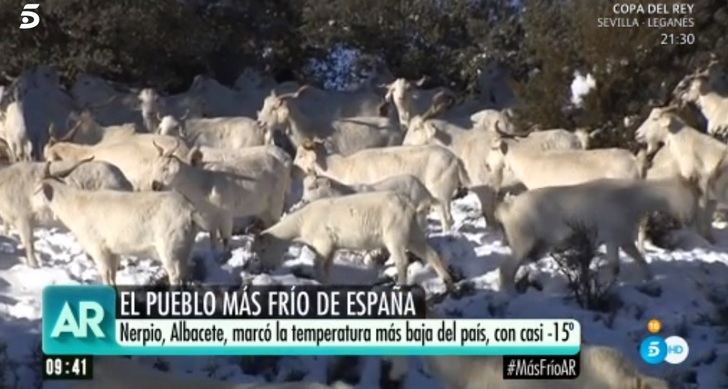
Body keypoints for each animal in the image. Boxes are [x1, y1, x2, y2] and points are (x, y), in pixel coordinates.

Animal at [252, 191, 456, 284]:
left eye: (263, 248)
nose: (265, 269)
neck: (300, 224)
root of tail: (409, 206)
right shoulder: (331, 248)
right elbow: (327, 268)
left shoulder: (323, 245)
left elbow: (318, 266)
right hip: (412, 233)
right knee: (431, 254)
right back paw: (447, 281)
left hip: (395, 234)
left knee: (402, 261)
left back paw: (400, 285)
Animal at [294, 142, 470, 230]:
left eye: (301, 155)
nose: (293, 167)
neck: (342, 168)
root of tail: (455, 159)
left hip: (440, 193)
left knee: (447, 218)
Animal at [494, 177, 700, 290]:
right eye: (691, 196)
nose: (690, 219)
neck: (632, 198)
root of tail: (506, 209)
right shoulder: (612, 239)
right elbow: (615, 267)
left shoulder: (624, 240)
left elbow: (641, 260)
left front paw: (650, 280)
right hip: (523, 242)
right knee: (506, 269)